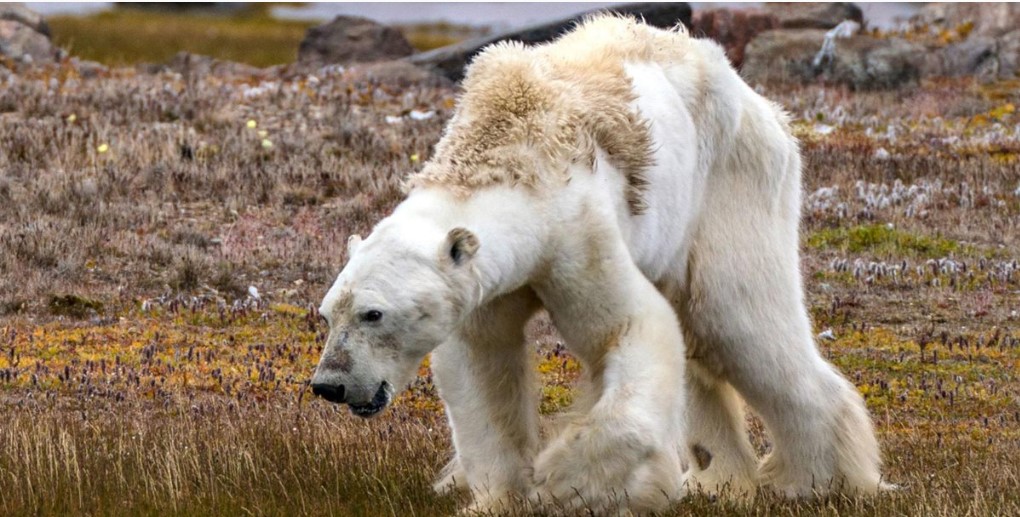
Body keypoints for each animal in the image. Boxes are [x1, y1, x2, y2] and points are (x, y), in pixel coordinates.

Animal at [308, 15, 885, 513]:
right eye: (328, 313)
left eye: (374, 313)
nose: (329, 384)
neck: (506, 152)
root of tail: (763, 105)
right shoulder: (485, 284)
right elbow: (481, 365)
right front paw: (497, 497)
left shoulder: (575, 232)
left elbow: (630, 328)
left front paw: (567, 482)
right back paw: (720, 479)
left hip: (730, 185)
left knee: (738, 321)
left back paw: (817, 480)